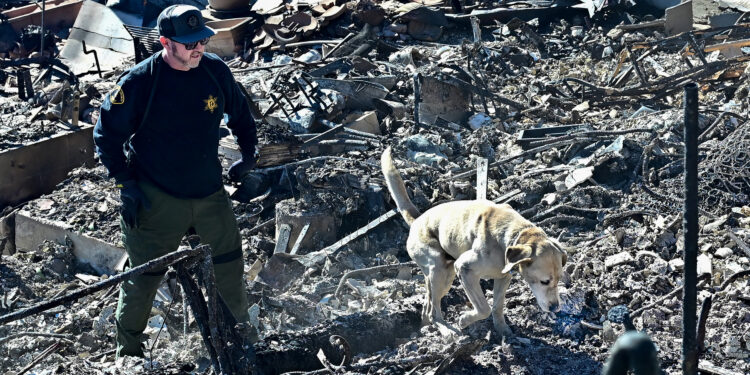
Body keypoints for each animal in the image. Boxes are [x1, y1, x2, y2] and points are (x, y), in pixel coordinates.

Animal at [384, 148, 568, 338]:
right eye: (544, 281)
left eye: (559, 279)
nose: (555, 308)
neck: (511, 235)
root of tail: (417, 220)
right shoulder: (465, 269)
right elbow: (484, 308)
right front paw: (464, 319)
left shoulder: (503, 277)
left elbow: (497, 306)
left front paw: (502, 330)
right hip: (440, 270)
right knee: (433, 311)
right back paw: (446, 330)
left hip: (442, 275)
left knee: (427, 307)